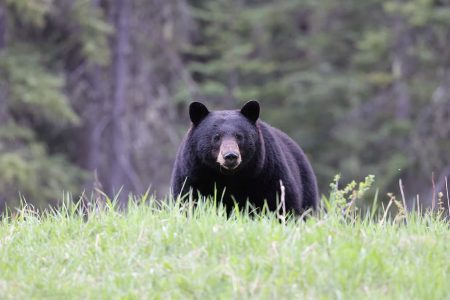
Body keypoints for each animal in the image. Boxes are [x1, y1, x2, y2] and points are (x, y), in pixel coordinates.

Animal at [170, 102, 320, 214]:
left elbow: (281, 202)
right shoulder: (193, 174)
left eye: (239, 136)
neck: (229, 177)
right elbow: (188, 200)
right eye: (216, 137)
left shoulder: (268, 173)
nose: (230, 156)